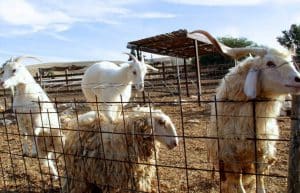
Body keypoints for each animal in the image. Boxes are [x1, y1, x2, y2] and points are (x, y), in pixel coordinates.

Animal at [195, 30, 300, 193]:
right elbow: (237, 180)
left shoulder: (261, 151)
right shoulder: (230, 156)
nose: (298, 80)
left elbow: (260, 178)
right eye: (270, 63)